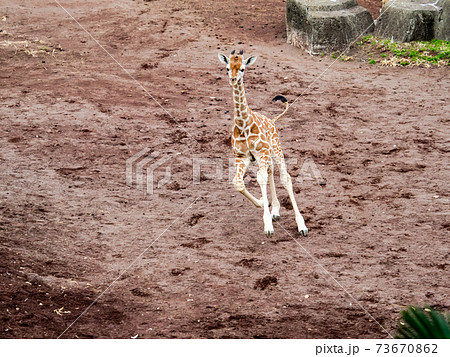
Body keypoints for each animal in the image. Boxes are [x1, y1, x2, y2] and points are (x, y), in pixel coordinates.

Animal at [216, 48, 308, 235]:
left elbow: (261, 178)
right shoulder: (242, 157)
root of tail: (272, 121)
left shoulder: (262, 153)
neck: (243, 124)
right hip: (262, 158)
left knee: (285, 178)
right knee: (270, 172)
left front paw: (268, 226)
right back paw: (275, 210)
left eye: (243, 68)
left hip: (276, 149)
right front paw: (262, 203)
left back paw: (301, 225)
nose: (233, 79)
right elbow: (237, 183)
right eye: (227, 68)